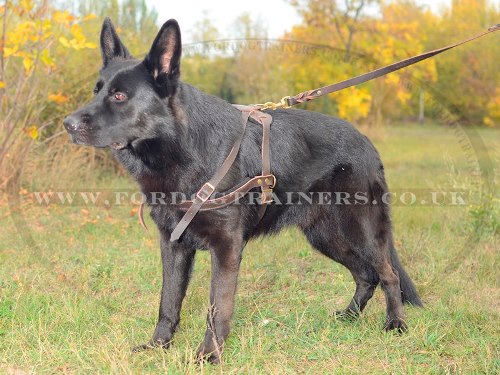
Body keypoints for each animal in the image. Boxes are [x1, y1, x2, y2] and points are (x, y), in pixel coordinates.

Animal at [62, 18, 422, 364]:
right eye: (96, 91)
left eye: (119, 96)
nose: (68, 124)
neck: (184, 150)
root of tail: (367, 144)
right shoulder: (174, 245)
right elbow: (168, 302)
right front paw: (159, 346)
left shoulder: (226, 247)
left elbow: (217, 307)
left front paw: (208, 356)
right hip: (326, 236)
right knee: (365, 275)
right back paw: (348, 316)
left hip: (360, 230)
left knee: (387, 273)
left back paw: (395, 324)